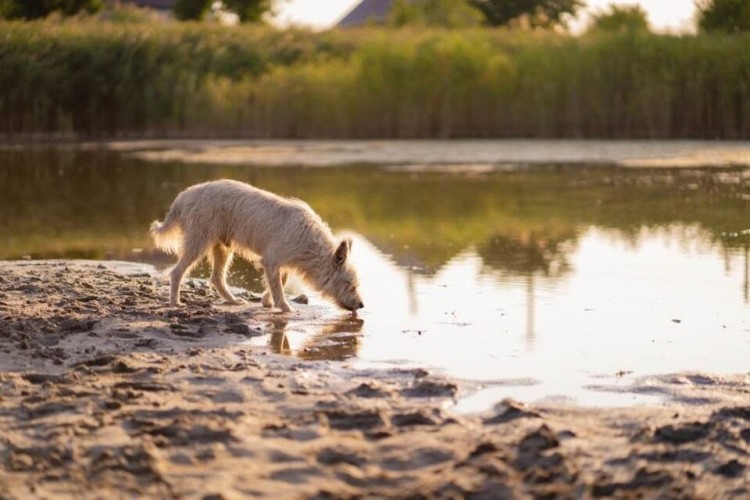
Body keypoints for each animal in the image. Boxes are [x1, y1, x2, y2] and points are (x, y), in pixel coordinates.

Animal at [149, 180, 364, 312]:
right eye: (350, 285)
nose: (361, 305)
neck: (311, 243)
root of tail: (184, 196)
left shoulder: (280, 263)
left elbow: (279, 282)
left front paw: (267, 301)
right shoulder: (272, 260)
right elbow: (278, 287)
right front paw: (285, 307)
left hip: (222, 248)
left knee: (217, 278)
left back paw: (232, 300)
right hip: (198, 242)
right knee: (177, 272)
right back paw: (175, 303)